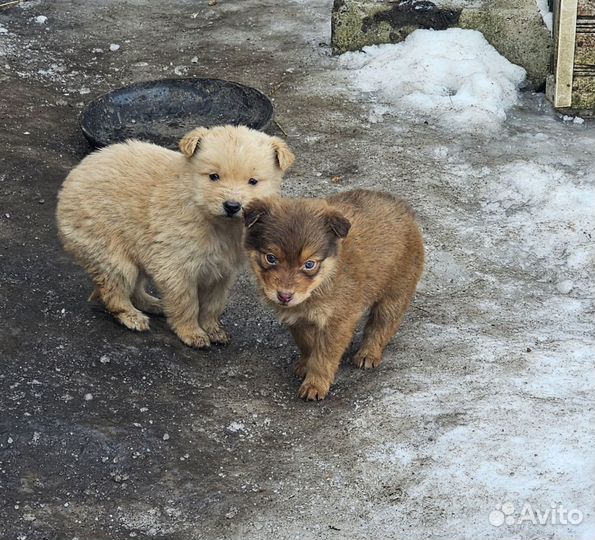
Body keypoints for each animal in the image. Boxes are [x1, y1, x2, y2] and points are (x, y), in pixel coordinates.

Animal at [57, 125, 294, 348]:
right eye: (214, 176)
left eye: (253, 181)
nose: (232, 206)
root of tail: (73, 177)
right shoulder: (176, 262)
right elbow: (185, 301)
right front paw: (192, 333)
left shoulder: (223, 269)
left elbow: (214, 302)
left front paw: (214, 330)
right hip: (104, 240)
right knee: (116, 282)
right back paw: (132, 317)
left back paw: (154, 304)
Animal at [244, 188, 426, 398]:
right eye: (271, 258)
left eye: (309, 264)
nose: (284, 296)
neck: (321, 282)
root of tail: (404, 210)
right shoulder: (298, 319)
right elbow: (307, 344)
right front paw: (306, 365)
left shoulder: (338, 320)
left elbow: (324, 355)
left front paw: (315, 384)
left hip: (395, 292)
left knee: (382, 325)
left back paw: (368, 354)